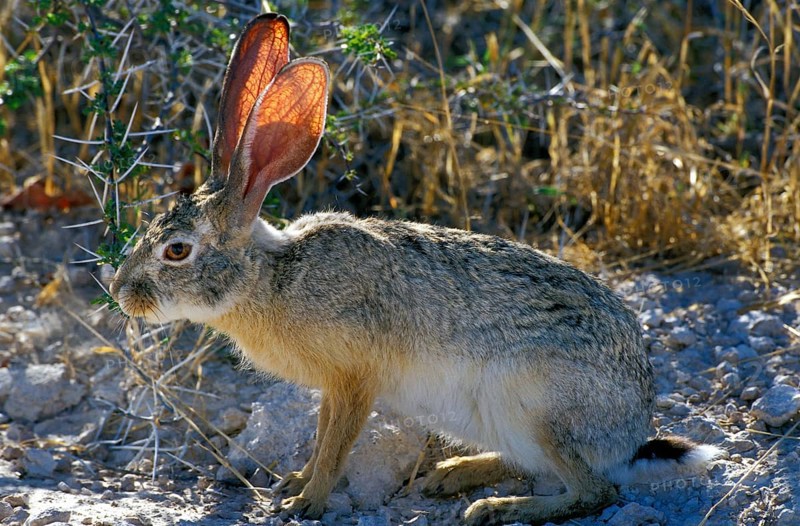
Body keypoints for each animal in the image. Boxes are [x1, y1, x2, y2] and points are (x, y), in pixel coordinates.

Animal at [109, 13, 724, 526]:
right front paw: (293, 482)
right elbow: (320, 437)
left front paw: (305, 503)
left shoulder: (354, 378)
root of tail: (630, 434)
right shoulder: (334, 388)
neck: (272, 277)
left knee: (595, 490)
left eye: (177, 251)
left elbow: (335, 445)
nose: (119, 293)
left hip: (535, 404)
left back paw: (497, 508)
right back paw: (455, 475)